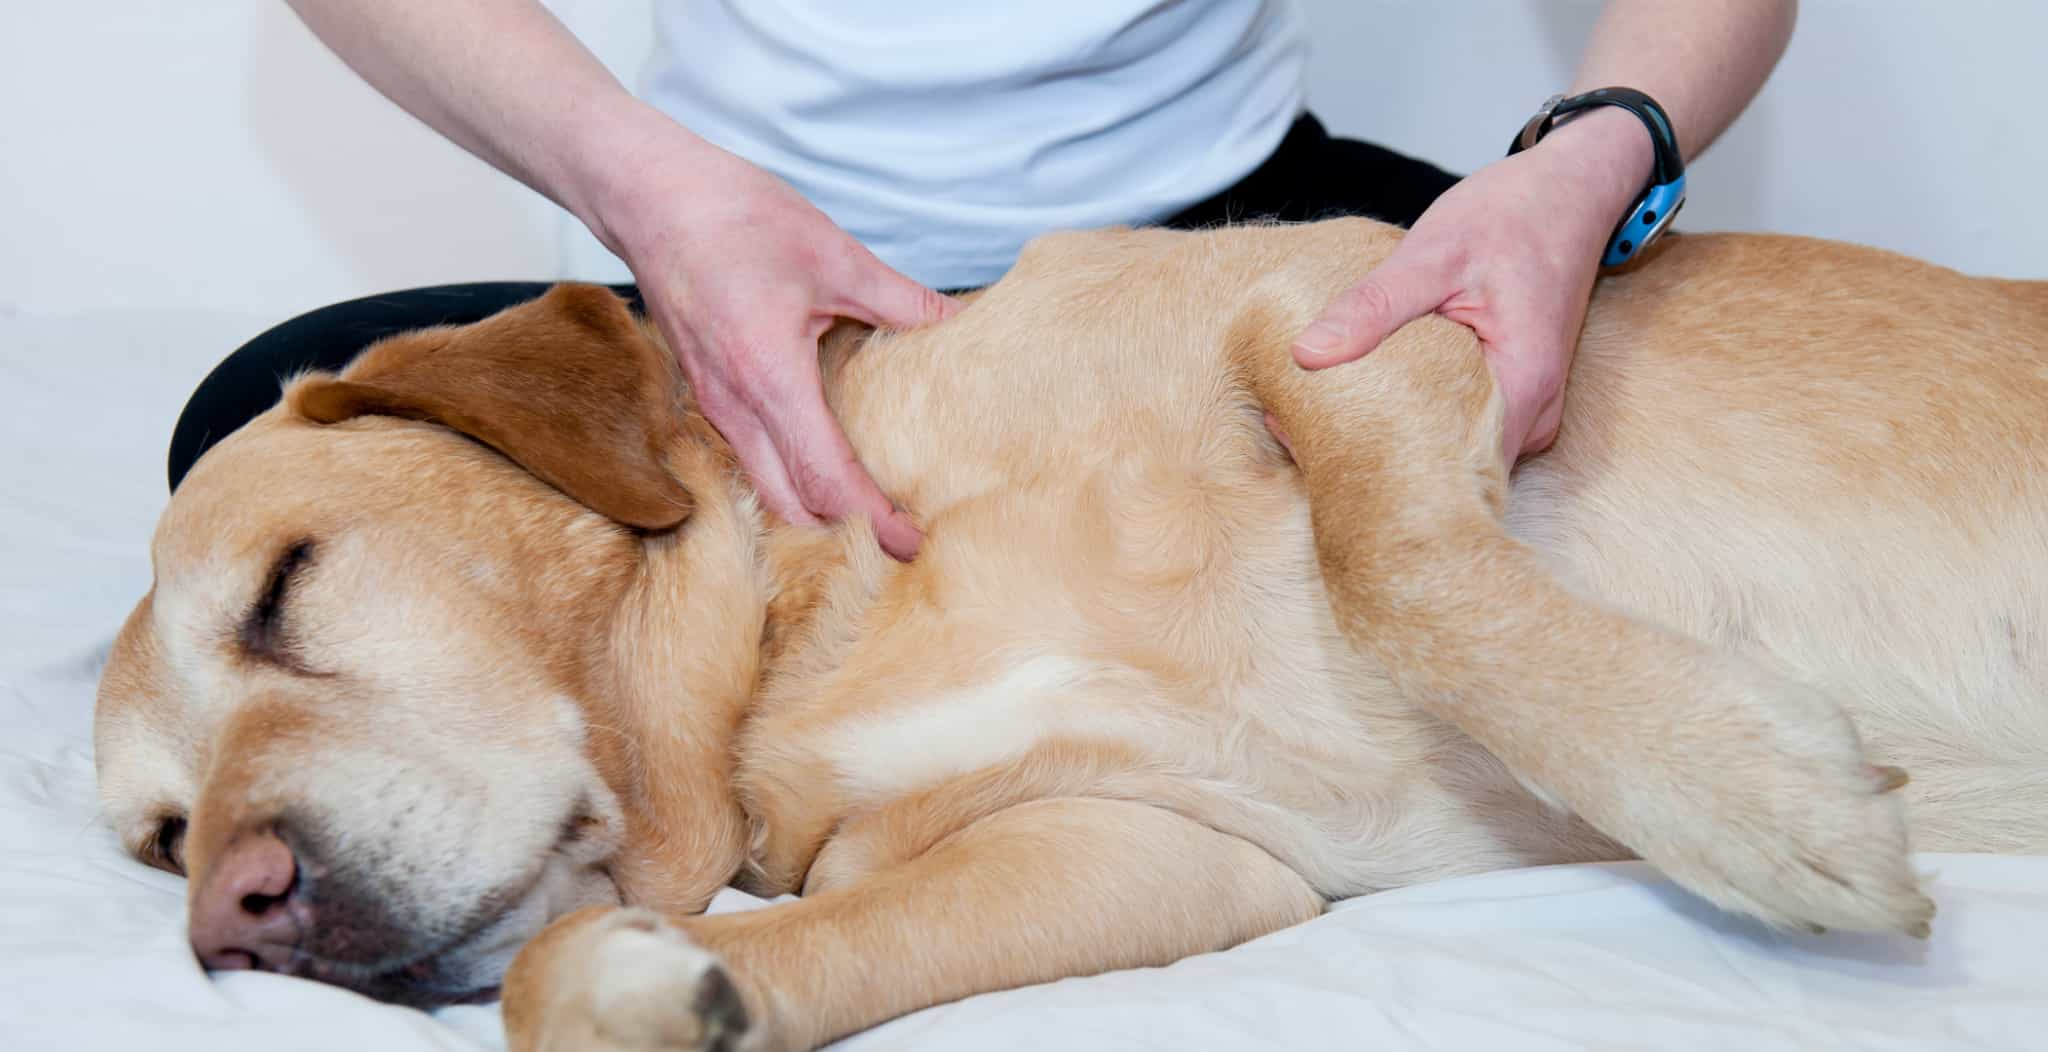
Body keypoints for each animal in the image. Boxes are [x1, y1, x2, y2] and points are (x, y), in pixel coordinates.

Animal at [92, 216, 2048, 1043]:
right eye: (159, 839)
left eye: (286, 584)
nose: (232, 918)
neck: (815, 632)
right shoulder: (1153, 852)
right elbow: (609, 972)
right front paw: (668, 987)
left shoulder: (1350, 301)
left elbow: (1397, 566)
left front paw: (1753, 804)